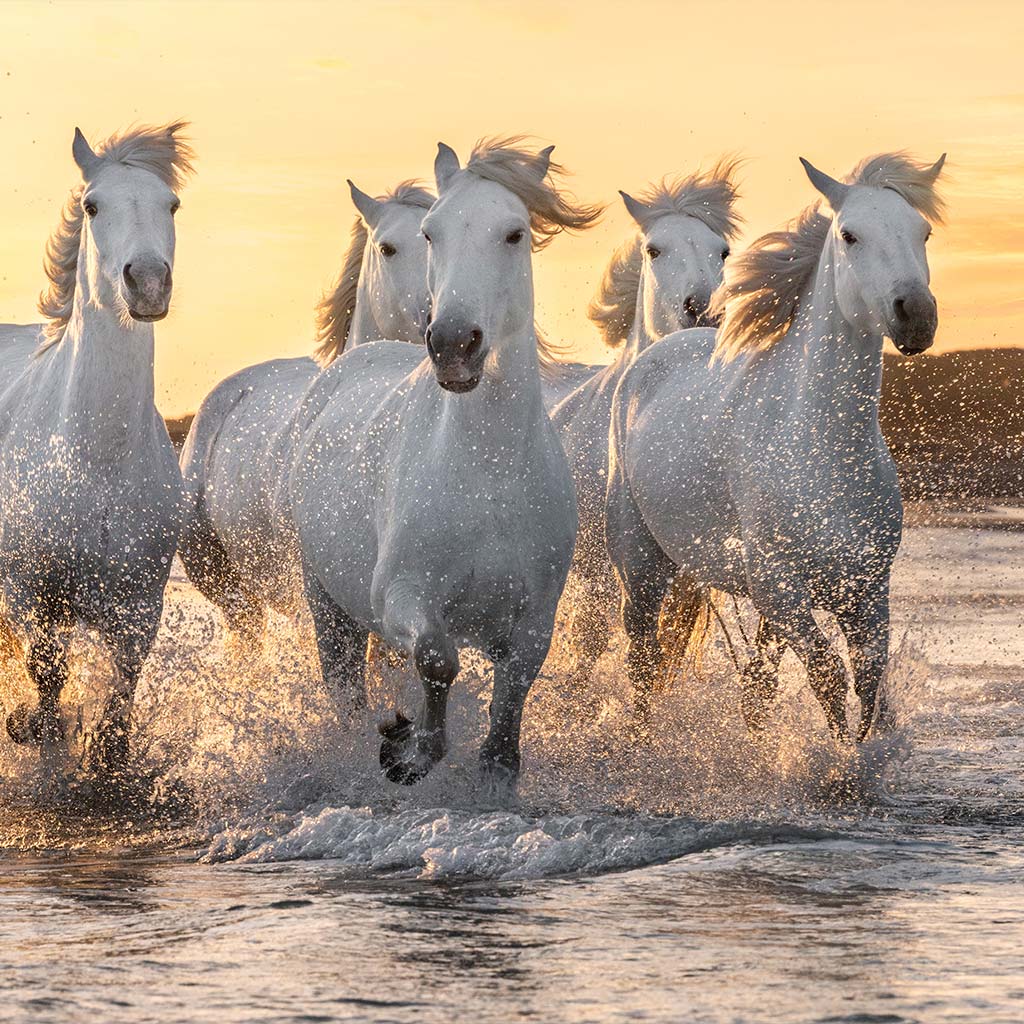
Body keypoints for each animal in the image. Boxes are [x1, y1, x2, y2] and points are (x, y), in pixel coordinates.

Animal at [0, 121, 193, 770]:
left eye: (172, 204)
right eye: (91, 205)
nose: (149, 282)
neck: (94, 462)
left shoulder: (138, 604)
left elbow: (121, 691)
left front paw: (106, 755)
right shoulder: (28, 592)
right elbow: (45, 671)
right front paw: (32, 730)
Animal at [284, 136, 598, 786]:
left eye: (515, 233)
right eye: (433, 232)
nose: (453, 343)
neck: (487, 472)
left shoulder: (535, 616)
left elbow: (512, 697)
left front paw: (494, 768)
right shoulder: (401, 596)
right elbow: (436, 659)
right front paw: (407, 746)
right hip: (327, 602)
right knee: (345, 685)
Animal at [602, 151, 946, 737]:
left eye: (922, 231)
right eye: (850, 235)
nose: (916, 315)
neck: (820, 449)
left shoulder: (866, 591)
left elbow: (867, 680)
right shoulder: (781, 591)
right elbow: (829, 677)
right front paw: (835, 759)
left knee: (754, 684)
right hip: (641, 565)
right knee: (643, 661)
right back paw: (641, 740)